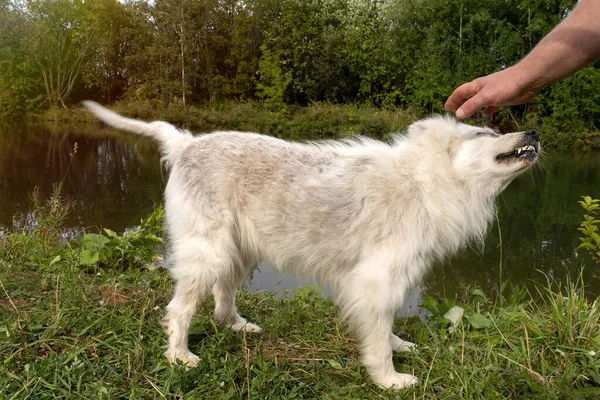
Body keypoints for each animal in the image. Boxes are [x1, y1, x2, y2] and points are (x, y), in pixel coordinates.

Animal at [83, 101, 540, 390]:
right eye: (485, 132)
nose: (534, 130)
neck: (425, 180)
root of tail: (188, 143)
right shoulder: (376, 280)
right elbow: (377, 340)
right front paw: (389, 379)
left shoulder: (388, 282)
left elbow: (387, 325)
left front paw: (397, 347)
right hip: (207, 254)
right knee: (178, 310)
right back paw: (180, 357)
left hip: (236, 254)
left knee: (221, 298)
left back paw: (236, 326)